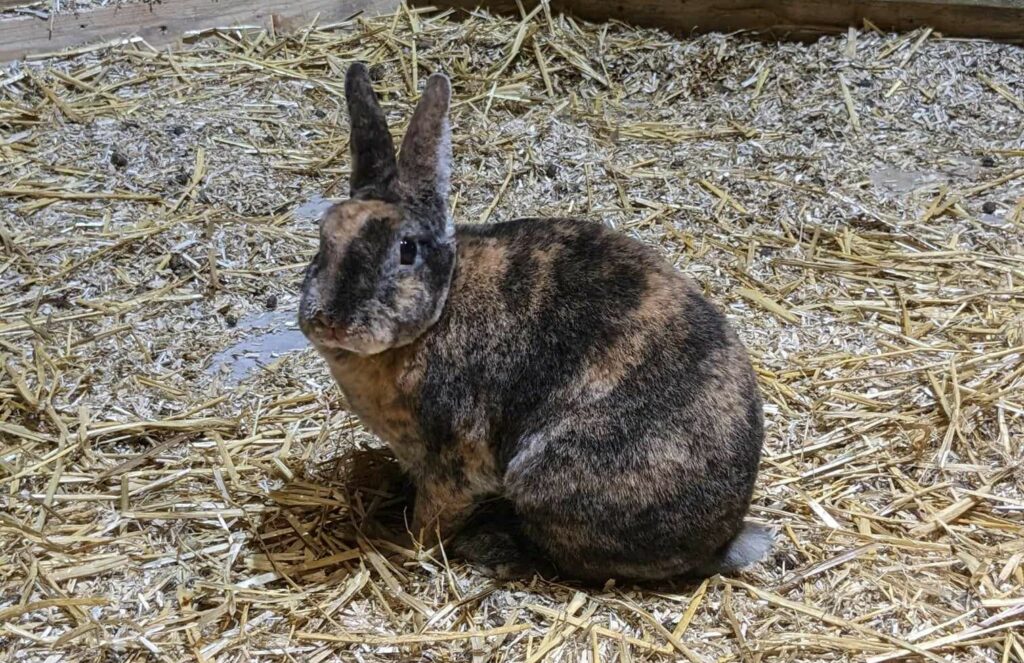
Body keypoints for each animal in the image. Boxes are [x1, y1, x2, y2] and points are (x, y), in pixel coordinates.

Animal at [298, 62, 771, 582]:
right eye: (324, 236)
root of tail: (722, 536)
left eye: (406, 250)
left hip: (547, 482)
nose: (331, 321)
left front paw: (404, 544)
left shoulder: (453, 464)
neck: (438, 313)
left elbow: (432, 518)